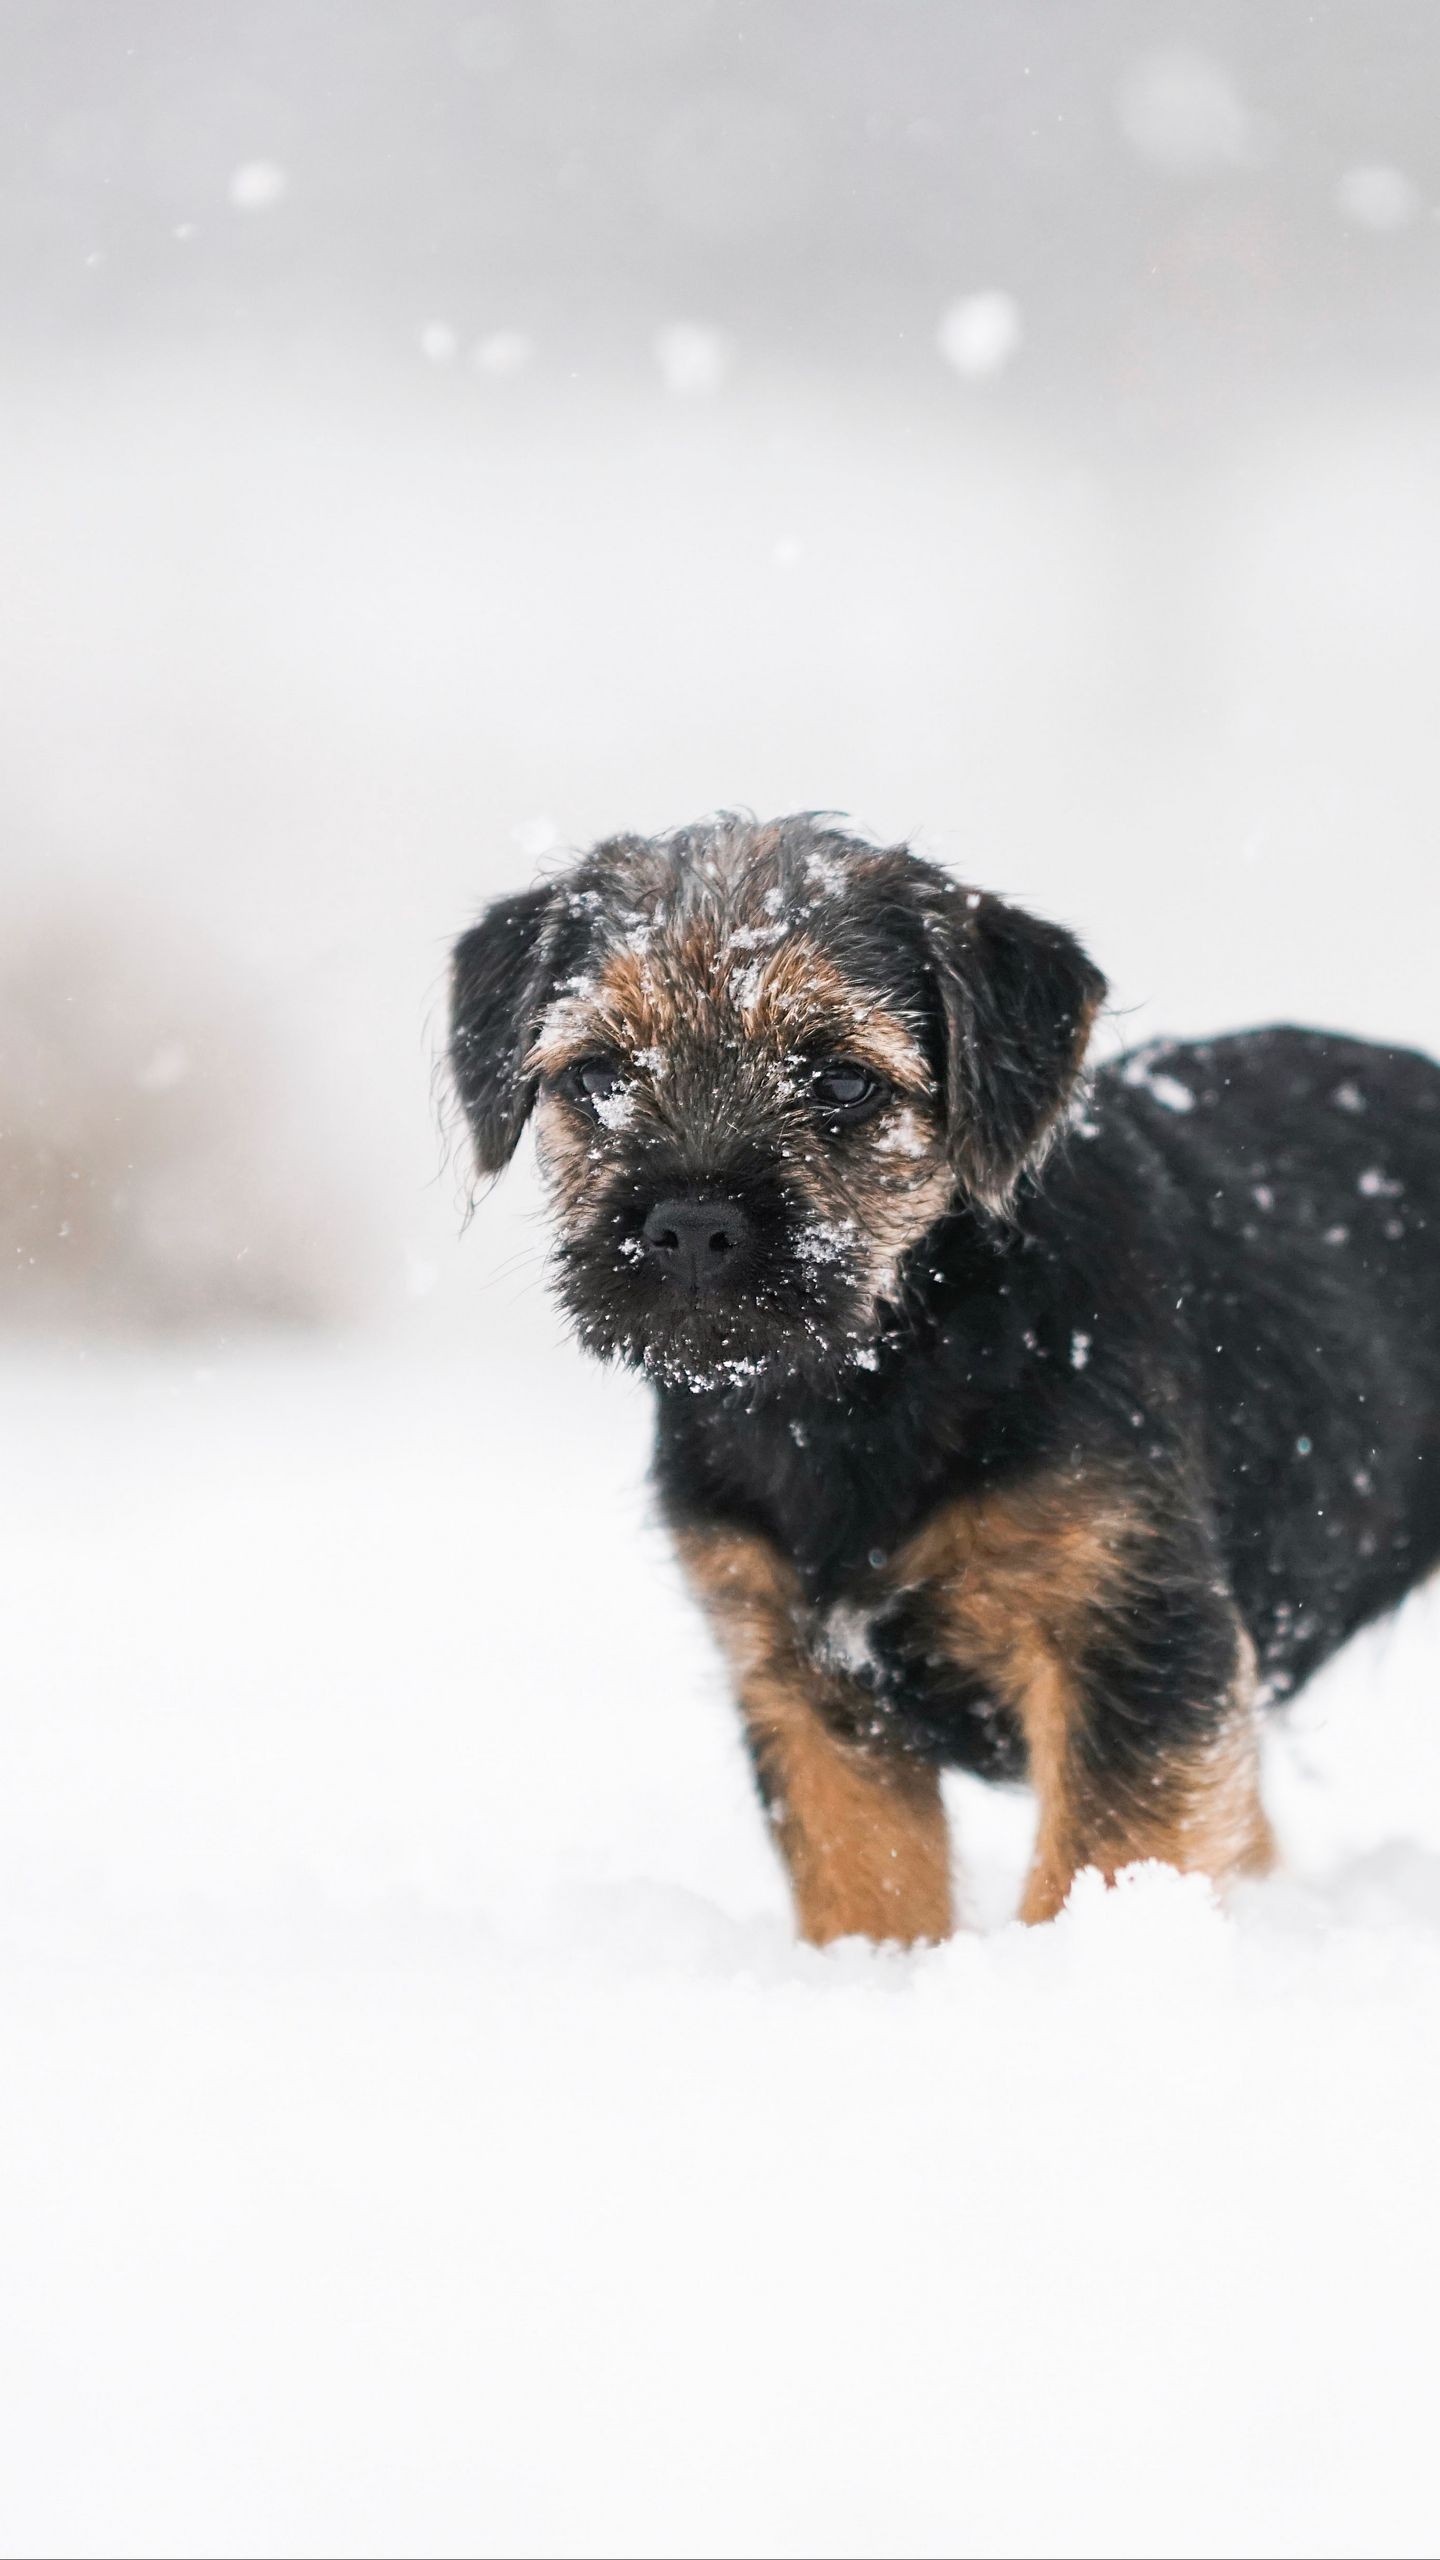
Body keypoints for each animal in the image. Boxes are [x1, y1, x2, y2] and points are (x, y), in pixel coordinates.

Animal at [448, 814, 1434, 1935]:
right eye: (599, 1073)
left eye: (842, 1080)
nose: (691, 1223)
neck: (864, 1385)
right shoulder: (807, 1688)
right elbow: (867, 1881)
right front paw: (886, 1969)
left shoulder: (1130, 1636)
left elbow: (1099, 1857)